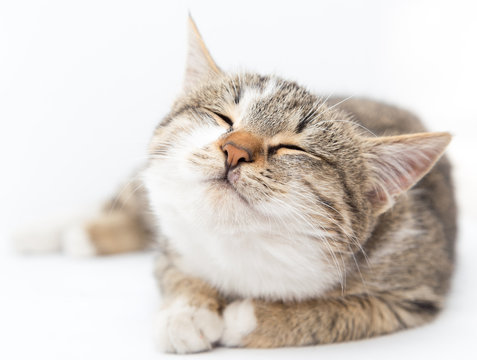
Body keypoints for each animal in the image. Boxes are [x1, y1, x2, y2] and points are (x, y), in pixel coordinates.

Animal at [19, 17, 458, 354]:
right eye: (222, 118)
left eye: (291, 147)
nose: (235, 150)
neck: (241, 246)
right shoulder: (172, 245)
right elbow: (176, 270)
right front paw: (188, 311)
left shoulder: (410, 294)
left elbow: (337, 313)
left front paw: (245, 317)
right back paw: (58, 230)